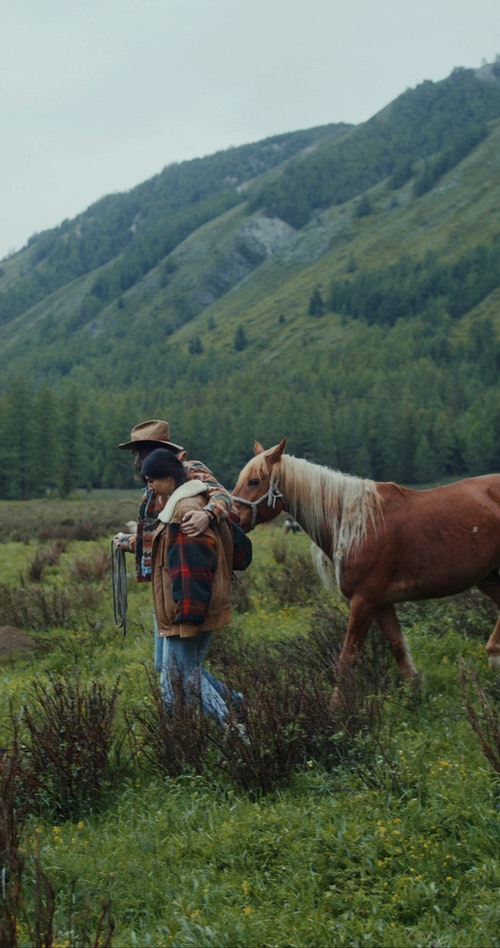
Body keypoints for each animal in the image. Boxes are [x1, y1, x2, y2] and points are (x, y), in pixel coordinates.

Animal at [232, 440, 500, 676]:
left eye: (254, 481)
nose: (233, 516)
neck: (356, 524)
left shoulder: (363, 601)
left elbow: (347, 659)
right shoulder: (381, 604)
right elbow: (400, 653)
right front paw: (415, 694)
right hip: (486, 577)